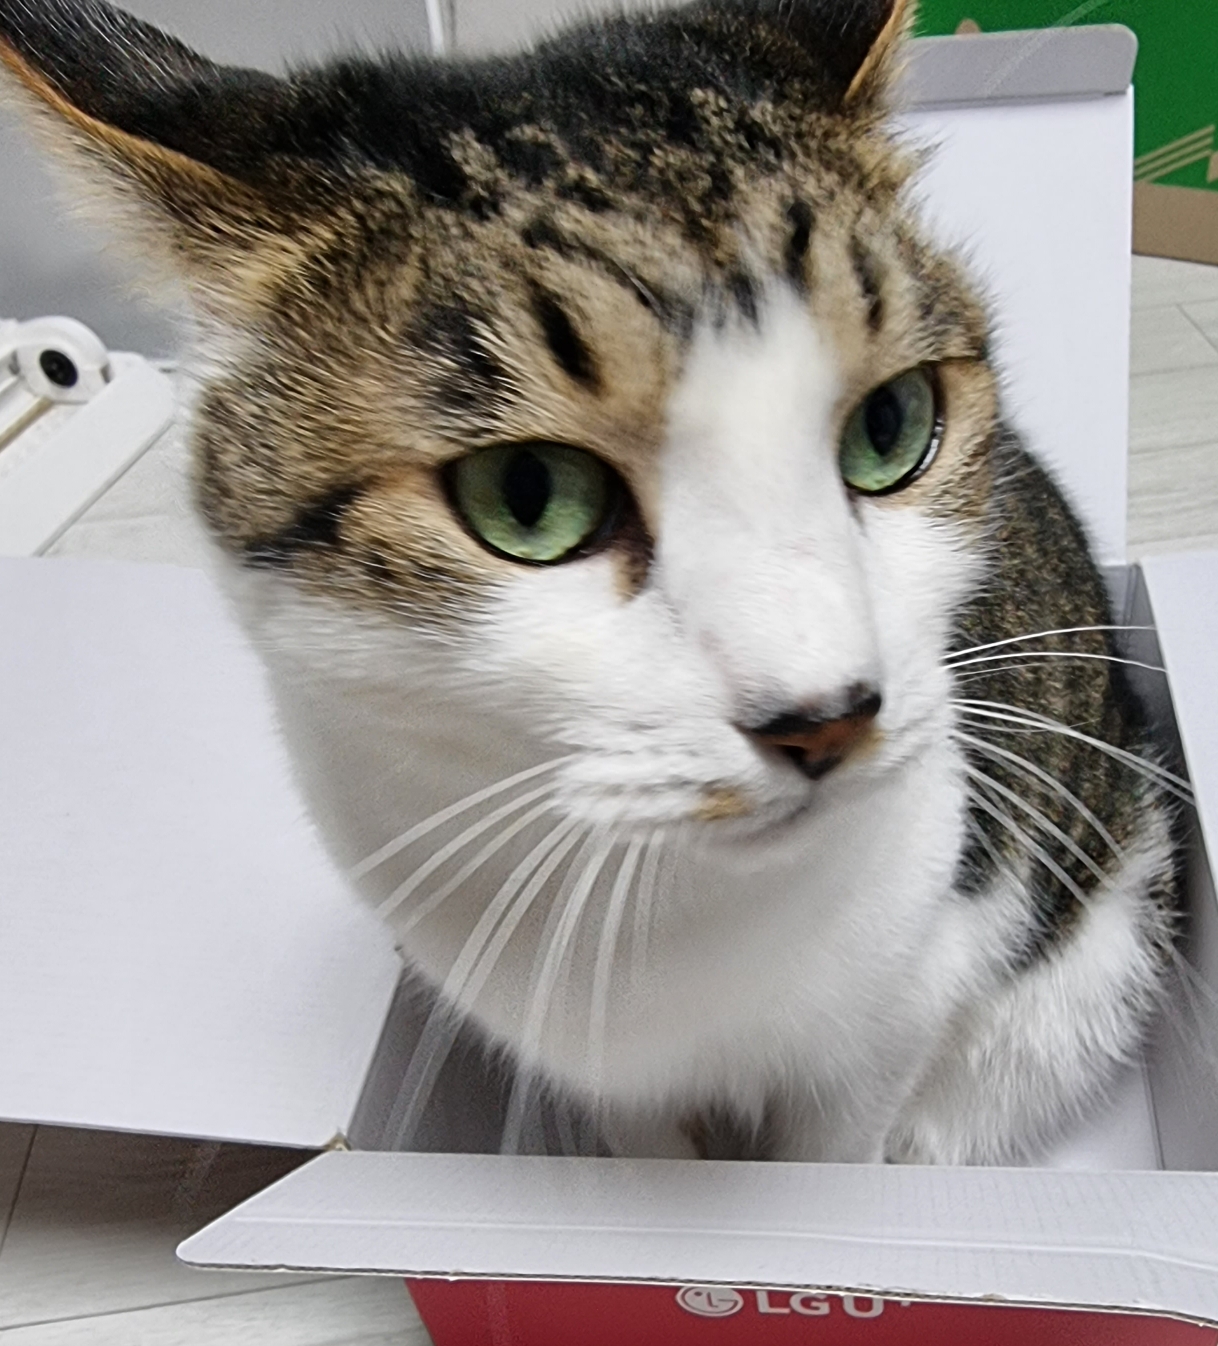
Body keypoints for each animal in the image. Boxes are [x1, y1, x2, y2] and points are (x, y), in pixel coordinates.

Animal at [0, 0, 1180, 1164]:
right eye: (529, 496)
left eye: (891, 427)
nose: (829, 715)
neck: (686, 915)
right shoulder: (583, 1057)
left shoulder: (897, 1015)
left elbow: (829, 1161)